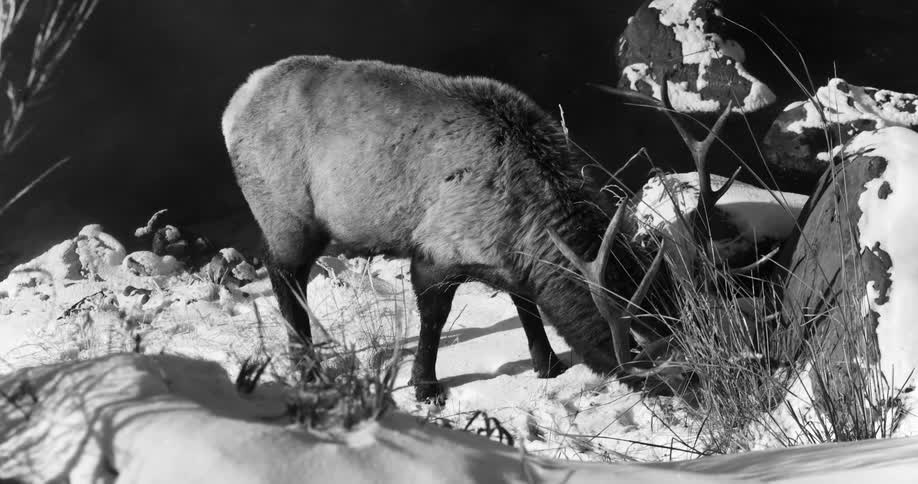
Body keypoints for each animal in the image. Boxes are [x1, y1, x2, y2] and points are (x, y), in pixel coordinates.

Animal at [221, 55, 729, 403]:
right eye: (672, 377)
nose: (714, 388)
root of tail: (233, 107)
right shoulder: (435, 248)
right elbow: (434, 317)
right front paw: (425, 386)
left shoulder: (507, 258)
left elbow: (525, 302)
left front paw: (547, 363)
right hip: (287, 213)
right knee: (285, 275)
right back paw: (307, 367)